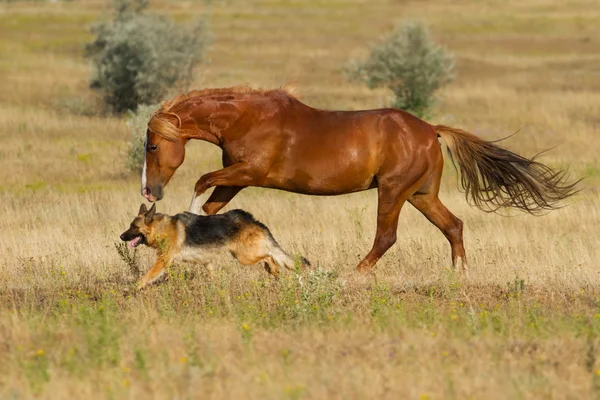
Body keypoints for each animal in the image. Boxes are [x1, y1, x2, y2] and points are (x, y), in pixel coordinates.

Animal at [120, 205, 312, 290]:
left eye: (134, 227)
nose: (121, 237)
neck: (161, 229)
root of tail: (252, 219)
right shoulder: (206, 262)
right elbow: (213, 276)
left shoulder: (162, 261)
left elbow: (145, 277)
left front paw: (132, 289)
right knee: (270, 256)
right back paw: (274, 272)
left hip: (244, 256)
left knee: (268, 256)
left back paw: (273, 270)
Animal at [138, 86, 580, 274]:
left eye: (153, 145)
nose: (148, 190)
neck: (248, 117)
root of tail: (430, 130)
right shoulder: (236, 178)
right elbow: (213, 201)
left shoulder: (250, 172)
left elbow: (200, 183)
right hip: (420, 194)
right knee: (453, 226)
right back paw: (458, 275)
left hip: (393, 191)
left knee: (386, 237)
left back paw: (354, 276)